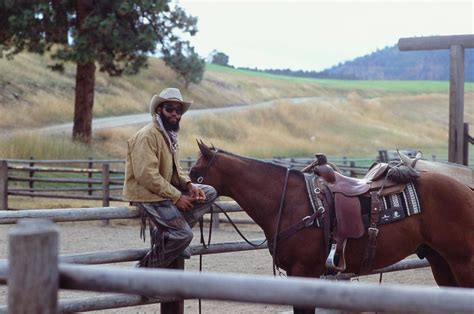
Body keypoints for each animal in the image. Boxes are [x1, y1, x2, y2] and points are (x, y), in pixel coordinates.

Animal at [190, 143, 474, 312]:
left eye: (194, 173)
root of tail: (466, 190)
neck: (289, 201)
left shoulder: (304, 273)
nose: (185, 196)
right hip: (441, 262)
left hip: (463, 263)